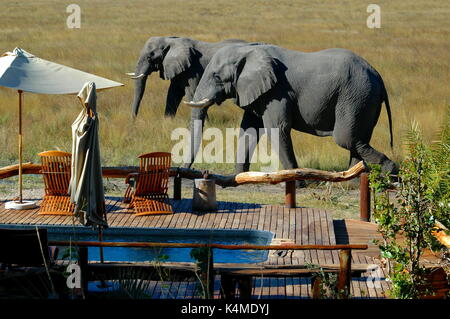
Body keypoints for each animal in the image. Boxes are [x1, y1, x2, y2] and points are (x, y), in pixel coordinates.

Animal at [129, 35, 264, 172]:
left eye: (149, 57)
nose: (133, 121)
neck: (170, 40)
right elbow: (173, 94)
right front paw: (167, 123)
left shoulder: (192, 70)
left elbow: (191, 94)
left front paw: (209, 125)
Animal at [185, 43, 400, 175]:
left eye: (217, 77)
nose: (187, 170)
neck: (247, 50)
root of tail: (378, 75)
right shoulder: (259, 92)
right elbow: (249, 129)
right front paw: (238, 177)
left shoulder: (277, 91)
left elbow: (277, 128)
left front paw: (295, 181)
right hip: (364, 99)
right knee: (357, 137)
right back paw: (351, 179)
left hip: (356, 96)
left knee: (346, 137)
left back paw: (390, 171)